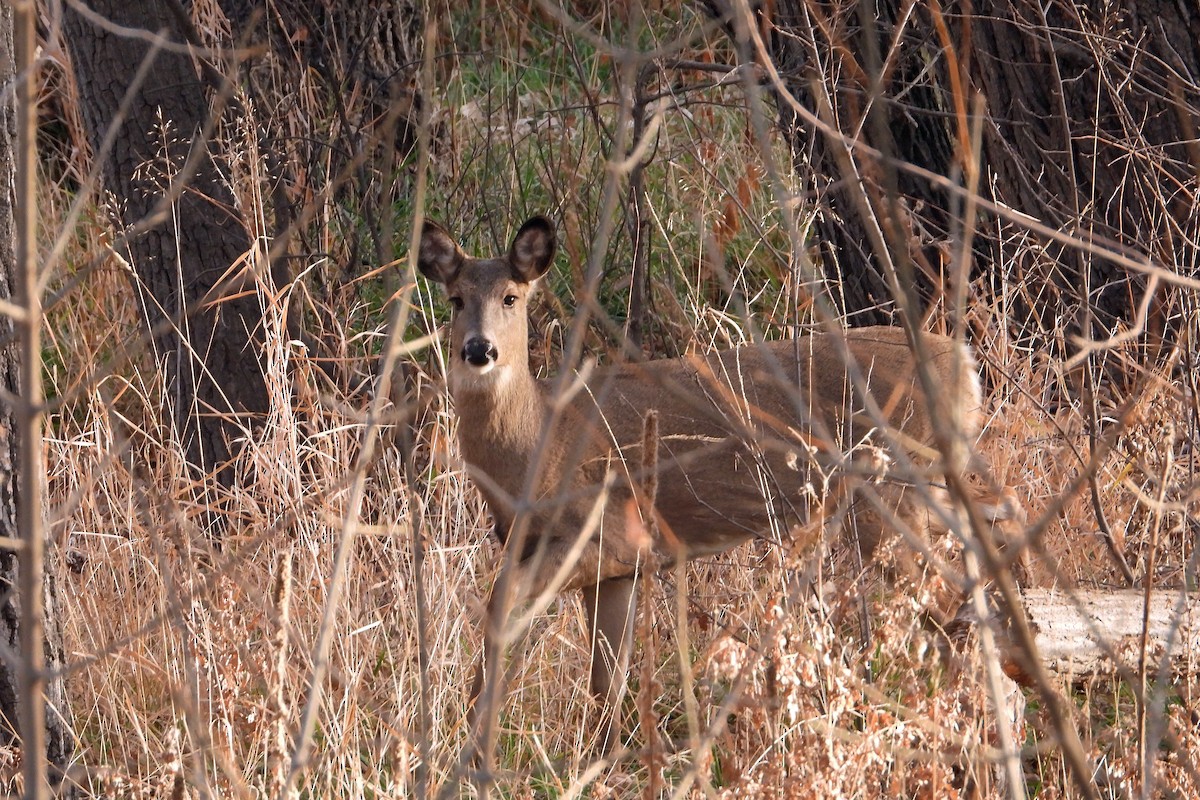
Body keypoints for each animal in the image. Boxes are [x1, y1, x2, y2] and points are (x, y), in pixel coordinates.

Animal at [417, 215, 998, 759]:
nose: (479, 350)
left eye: (511, 297)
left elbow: (501, 608)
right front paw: (606, 758)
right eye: (455, 299)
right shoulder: (619, 567)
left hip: (892, 492)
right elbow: (607, 675)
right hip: (927, 488)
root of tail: (966, 368)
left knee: (950, 607)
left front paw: (474, 747)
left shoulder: (606, 533)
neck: (542, 440)